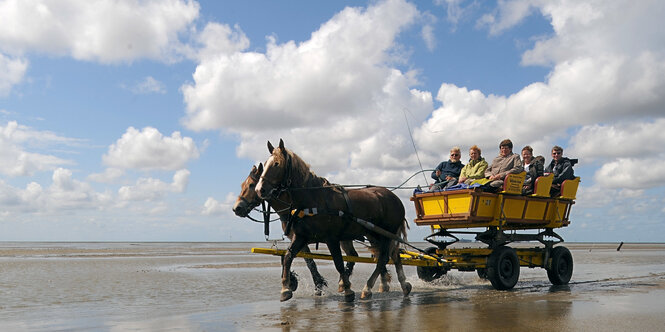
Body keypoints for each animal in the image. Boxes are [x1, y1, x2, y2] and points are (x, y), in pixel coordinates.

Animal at [256, 139, 412, 302]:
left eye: (276, 164)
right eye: (265, 163)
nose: (260, 189)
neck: (313, 200)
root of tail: (395, 198)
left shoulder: (332, 239)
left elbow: (338, 263)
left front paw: (348, 290)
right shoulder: (301, 236)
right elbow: (288, 257)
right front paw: (285, 288)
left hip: (386, 234)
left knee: (383, 258)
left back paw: (368, 288)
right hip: (376, 235)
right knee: (392, 256)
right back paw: (403, 285)